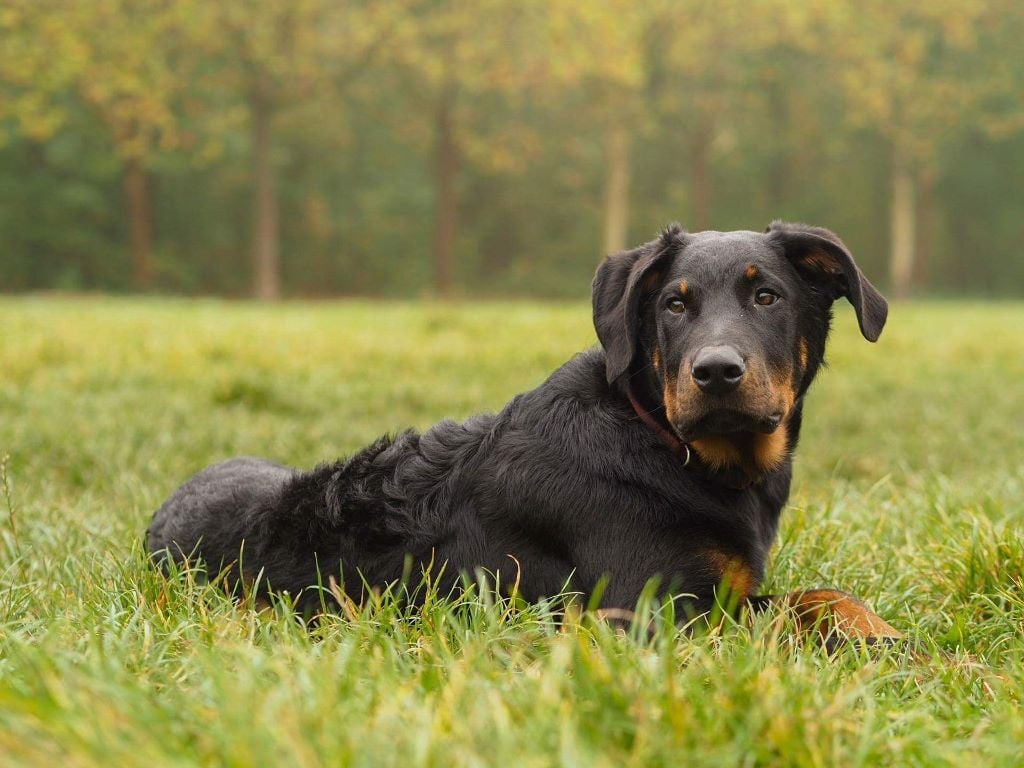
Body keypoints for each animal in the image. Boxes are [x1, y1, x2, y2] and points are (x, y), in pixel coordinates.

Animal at [146, 224, 905, 651]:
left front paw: (885, 633)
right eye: (674, 304)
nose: (716, 372)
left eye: (767, 296)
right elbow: (781, 622)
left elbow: (825, 596)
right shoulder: (648, 612)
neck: (663, 442)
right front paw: (893, 655)